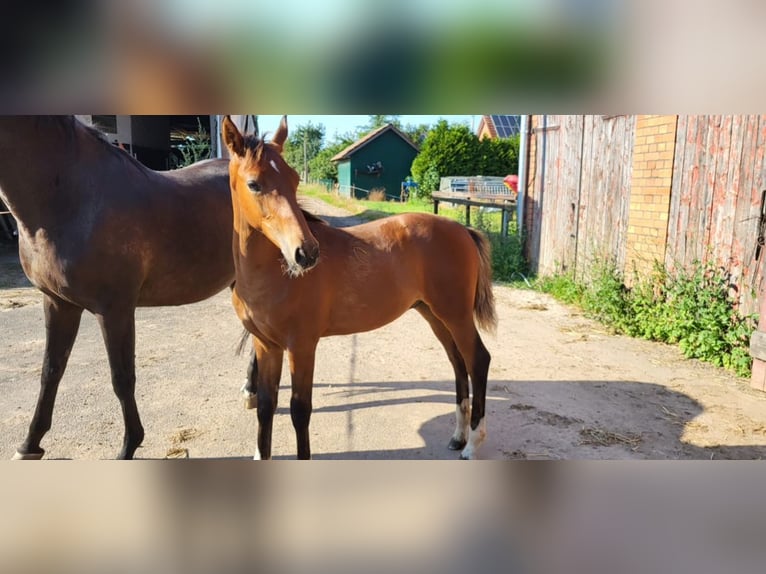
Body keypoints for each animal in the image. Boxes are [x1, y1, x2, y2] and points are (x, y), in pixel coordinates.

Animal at [0, 115, 243, 462]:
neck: (71, 197)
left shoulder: (114, 310)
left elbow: (122, 378)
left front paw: (129, 446)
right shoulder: (59, 304)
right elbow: (50, 372)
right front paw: (29, 444)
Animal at [222, 117, 498, 464]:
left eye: (295, 180)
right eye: (254, 184)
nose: (306, 253)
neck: (275, 273)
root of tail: (463, 229)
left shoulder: (302, 346)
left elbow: (300, 411)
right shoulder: (266, 345)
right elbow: (265, 406)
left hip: (456, 315)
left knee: (478, 361)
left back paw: (472, 445)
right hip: (434, 314)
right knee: (458, 362)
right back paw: (458, 437)